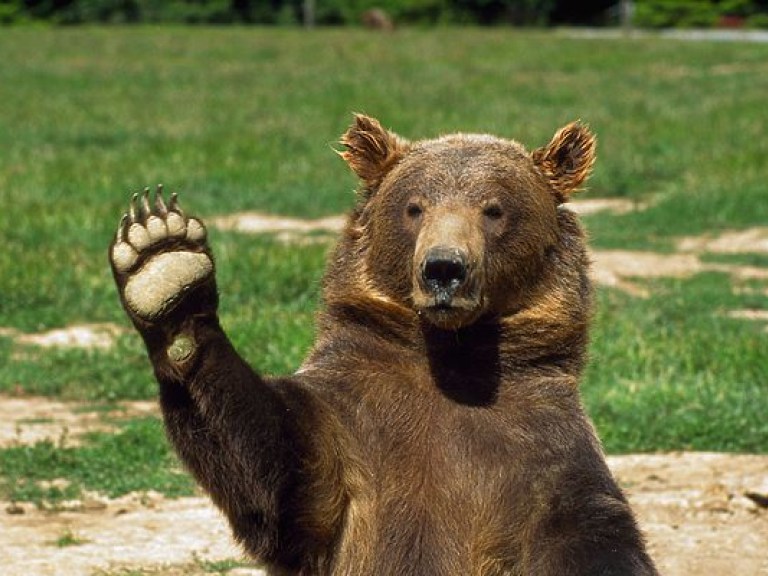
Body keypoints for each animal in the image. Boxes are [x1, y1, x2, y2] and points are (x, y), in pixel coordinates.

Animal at [109, 115, 660, 572]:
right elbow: (277, 471)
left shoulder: (541, 446)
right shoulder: (354, 422)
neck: (451, 358)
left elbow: (593, 532)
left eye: (494, 209)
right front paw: (164, 264)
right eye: (414, 206)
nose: (444, 268)